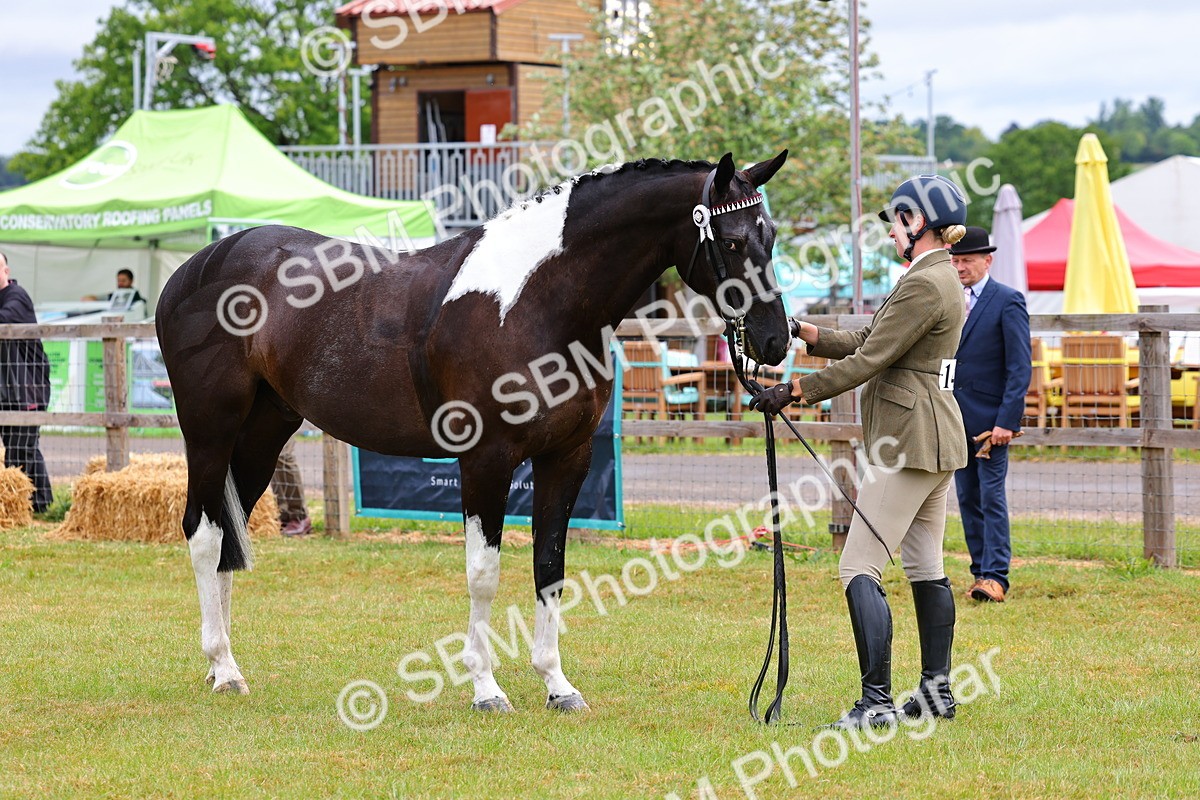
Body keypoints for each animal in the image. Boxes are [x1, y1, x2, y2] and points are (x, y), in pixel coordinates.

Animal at [155, 150, 791, 712]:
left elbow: (550, 568)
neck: (537, 302)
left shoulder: (568, 457)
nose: (776, 340)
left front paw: (557, 685)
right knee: (204, 532)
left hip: (265, 432)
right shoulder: (486, 459)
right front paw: (487, 690)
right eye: (733, 241)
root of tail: (196, 265)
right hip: (210, 431)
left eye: (772, 235)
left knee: (230, 532)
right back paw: (223, 667)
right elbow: (484, 574)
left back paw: (225, 667)